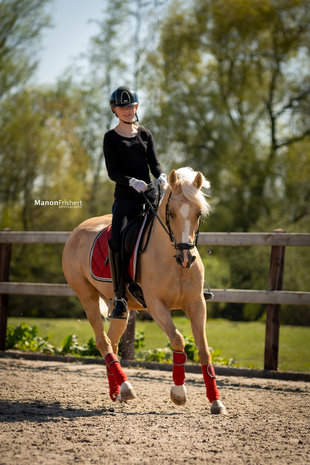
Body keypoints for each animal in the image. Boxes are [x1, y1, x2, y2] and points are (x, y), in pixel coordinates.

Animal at [62, 167, 228, 414]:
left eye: (198, 214)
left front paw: (216, 401)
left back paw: (117, 391)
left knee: (112, 341)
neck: (172, 260)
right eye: (171, 213)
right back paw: (127, 388)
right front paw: (178, 393)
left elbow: (204, 349)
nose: (186, 258)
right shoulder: (157, 305)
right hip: (87, 297)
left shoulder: (197, 304)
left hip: (118, 306)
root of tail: (76, 231)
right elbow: (178, 339)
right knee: (102, 341)